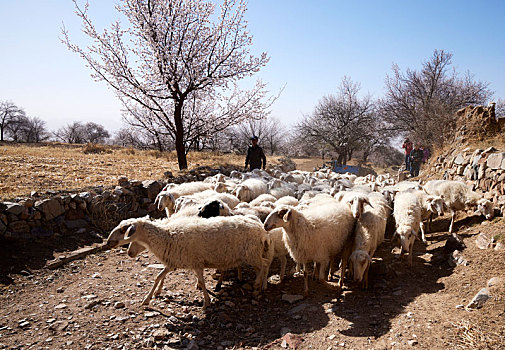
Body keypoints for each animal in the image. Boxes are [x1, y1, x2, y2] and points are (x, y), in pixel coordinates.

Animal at [105, 215, 274, 308]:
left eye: (123, 230)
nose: (108, 242)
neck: (168, 236)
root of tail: (261, 229)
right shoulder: (174, 262)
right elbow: (158, 277)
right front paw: (148, 298)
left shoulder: (196, 263)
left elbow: (202, 282)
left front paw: (206, 302)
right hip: (253, 253)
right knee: (261, 267)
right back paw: (259, 283)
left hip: (251, 253)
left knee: (265, 265)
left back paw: (258, 287)